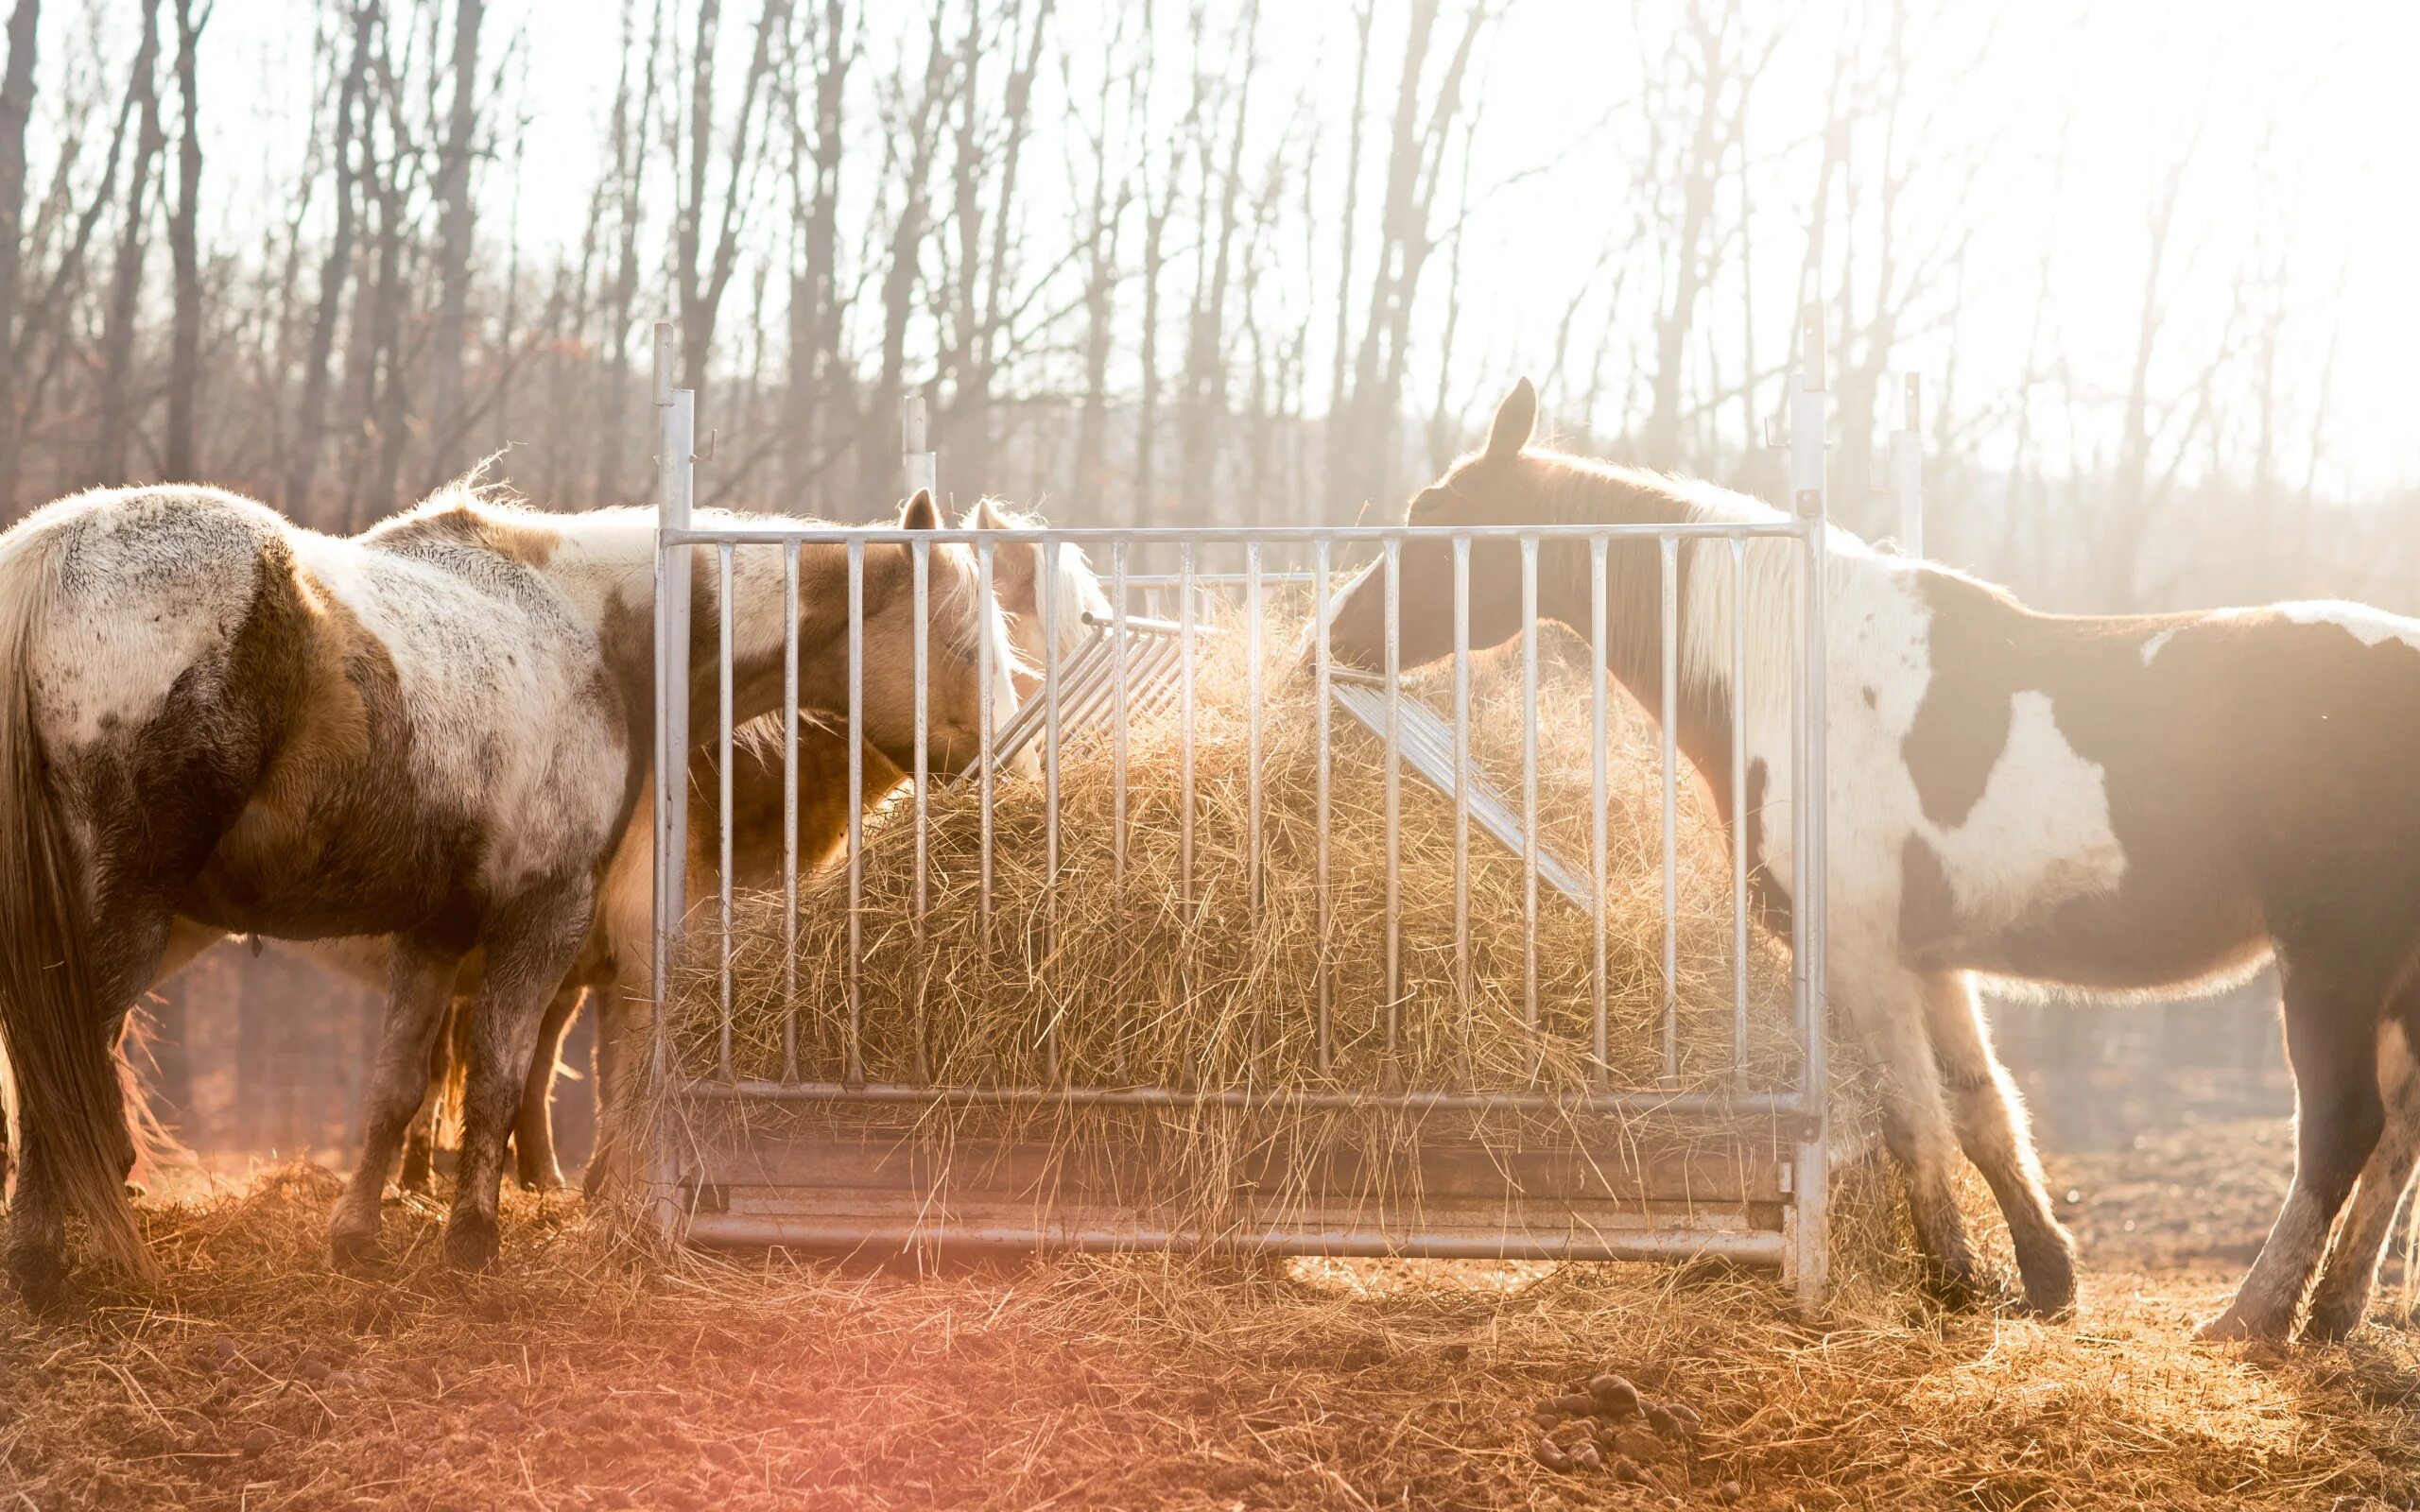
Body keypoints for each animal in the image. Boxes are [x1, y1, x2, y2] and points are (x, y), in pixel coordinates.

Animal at [1336, 379, 2420, 1345]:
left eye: (1433, 517)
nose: (1338, 633)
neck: (1797, 676)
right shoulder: (1931, 962)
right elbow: (1982, 1112)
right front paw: (2044, 1279)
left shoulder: (1862, 956)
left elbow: (1912, 1122)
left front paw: (1952, 1278)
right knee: (2400, 1129)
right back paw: (2331, 1315)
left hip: (2330, 963)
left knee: (2341, 1130)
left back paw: (2252, 1318)